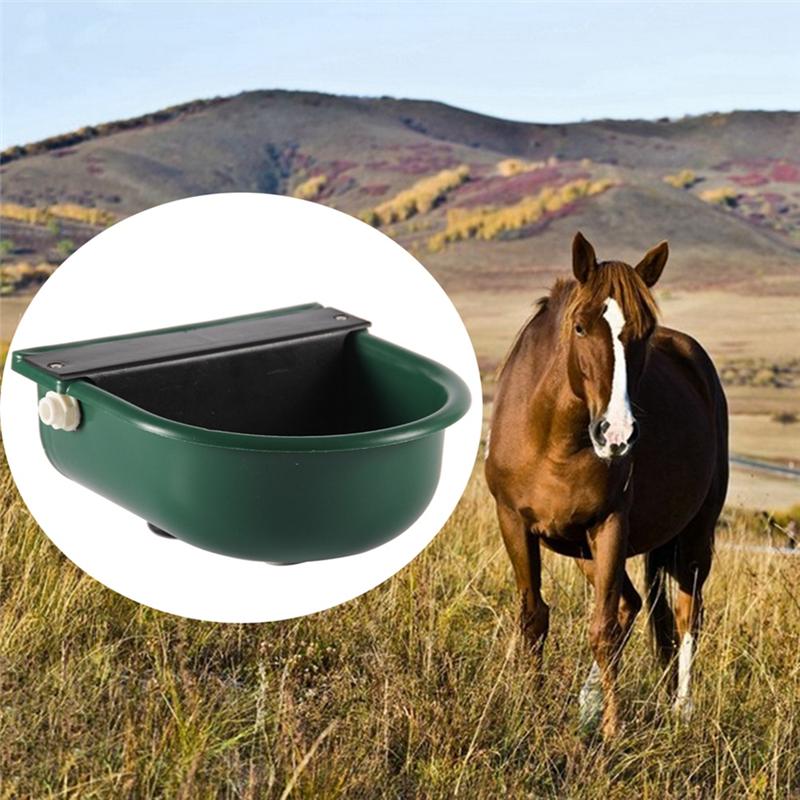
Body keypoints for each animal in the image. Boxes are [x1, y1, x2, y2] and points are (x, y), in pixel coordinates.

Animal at [485, 232, 728, 738]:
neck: (554, 439)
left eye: (645, 332)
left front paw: (614, 731)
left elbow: (602, 629)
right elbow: (535, 616)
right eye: (580, 327)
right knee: (631, 605)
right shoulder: (514, 523)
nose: (616, 434)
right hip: (582, 550)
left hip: (695, 534)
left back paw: (680, 709)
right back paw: (589, 700)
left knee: (685, 614)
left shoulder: (611, 525)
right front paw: (532, 705)